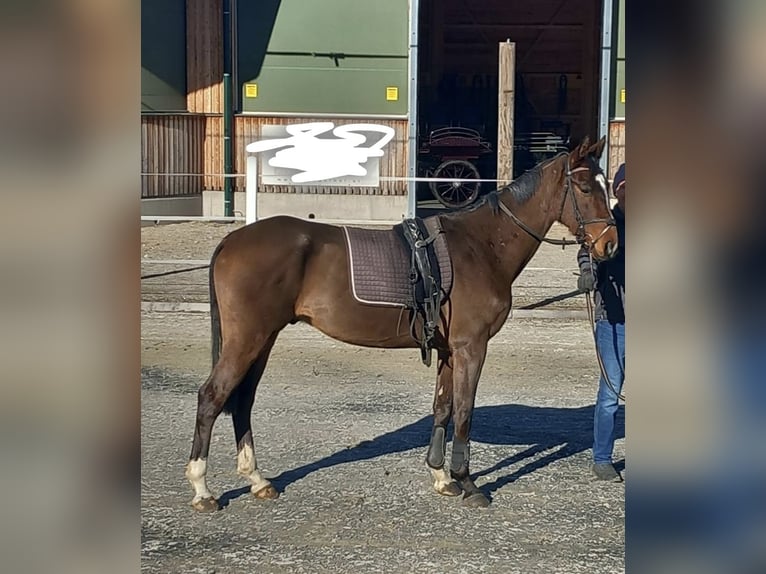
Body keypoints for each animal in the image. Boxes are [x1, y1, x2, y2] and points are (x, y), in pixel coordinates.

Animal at [185, 135, 618, 511]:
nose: (609, 244)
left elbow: (443, 407)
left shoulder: (448, 350)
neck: (480, 246)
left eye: (606, 185)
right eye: (584, 186)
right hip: (248, 339)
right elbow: (464, 412)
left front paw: (442, 477)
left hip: (263, 338)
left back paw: (257, 480)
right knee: (212, 397)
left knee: (242, 400)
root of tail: (233, 240)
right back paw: (202, 489)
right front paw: (469, 483)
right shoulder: (471, 347)